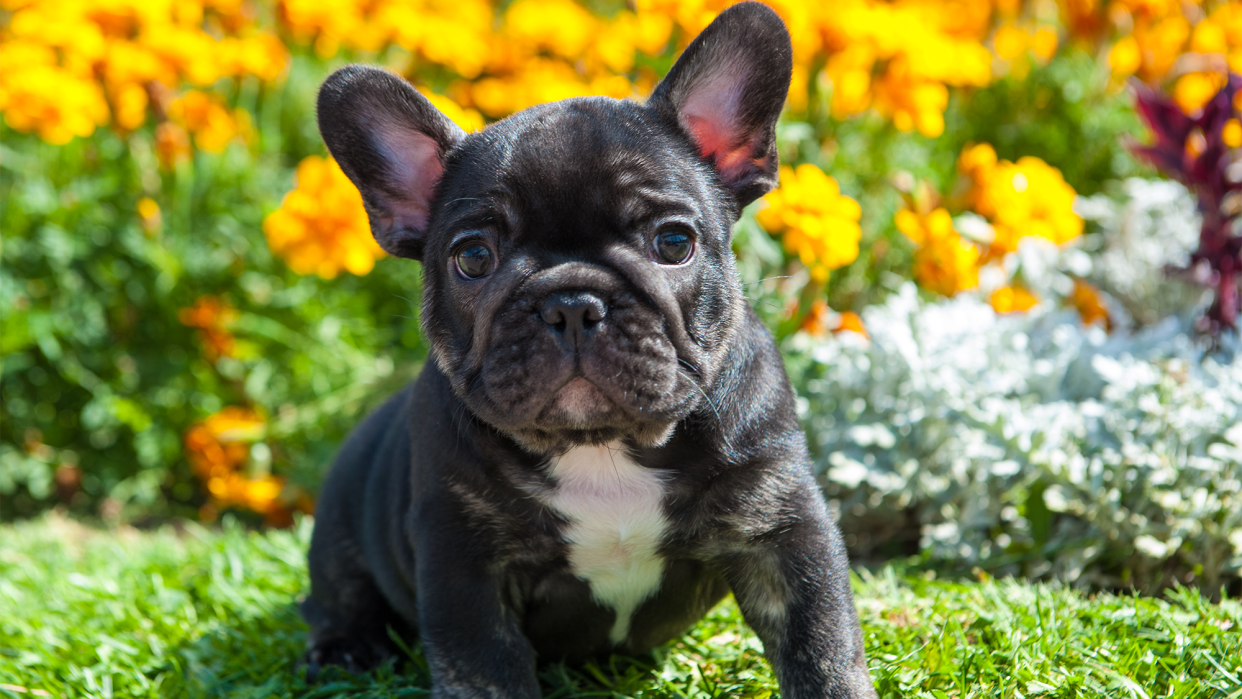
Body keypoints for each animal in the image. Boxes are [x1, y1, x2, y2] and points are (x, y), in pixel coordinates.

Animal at [303, 2, 874, 695]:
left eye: (673, 243)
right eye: (473, 257)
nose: (571, 304)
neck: (600, 447)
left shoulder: (782, 529)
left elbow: (822, 645)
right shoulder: (464, 565)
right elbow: (485, 672)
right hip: (339, 527)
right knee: (335, 598)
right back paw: (343, 649)